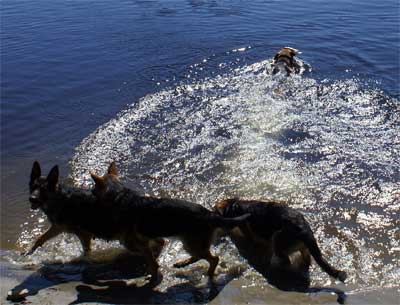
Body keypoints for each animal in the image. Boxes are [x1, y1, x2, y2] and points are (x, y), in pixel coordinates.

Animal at [214, 198, 348, 282]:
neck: (234, 206)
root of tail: (304, 229)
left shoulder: (247, 232)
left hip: (277, 238)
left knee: (285, 259)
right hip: (303, 247)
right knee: (306, 259)